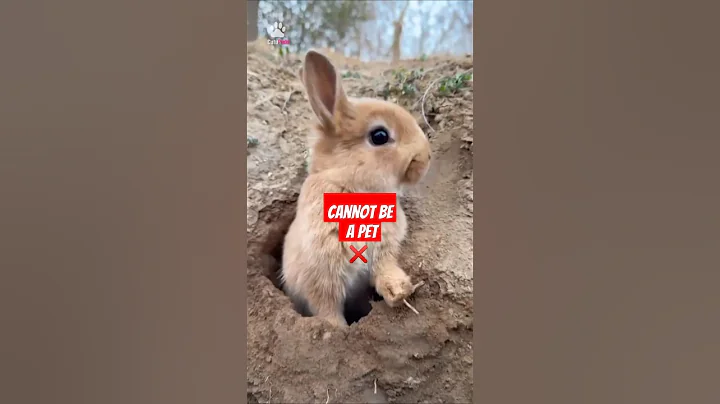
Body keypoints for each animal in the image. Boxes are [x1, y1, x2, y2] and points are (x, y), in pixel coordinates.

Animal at [280, 50, 432, 328]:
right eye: (380, 136)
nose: (426, 157)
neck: (352, 186)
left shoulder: (383, 254)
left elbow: (385, 272)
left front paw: (400, 291)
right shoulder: (321, 279)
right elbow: (327, 311)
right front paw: (337, 329)